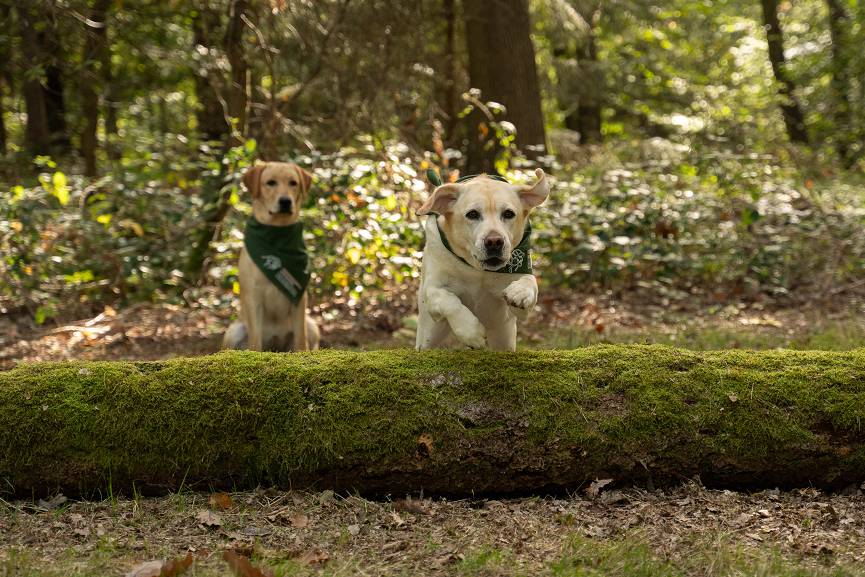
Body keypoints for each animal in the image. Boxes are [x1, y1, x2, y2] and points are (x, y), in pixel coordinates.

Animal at [221, 162, 318, 352]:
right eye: (270, 183)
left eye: (293, 183)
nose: (285, 201)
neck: (276, 234)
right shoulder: (253, 295)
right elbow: (255, 341)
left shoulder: (300, 299)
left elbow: (301, 339)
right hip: (233, 331)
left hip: (312, 325)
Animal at [416, 168, 552, 352]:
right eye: (472, 214)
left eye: (508, 214)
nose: (494, 242)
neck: (477, 270)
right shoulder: (432, 288)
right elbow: (448, 299)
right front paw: (470, 332)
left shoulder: (521, 303)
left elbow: (530, 282)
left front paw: (520, 292)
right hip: (427, 336)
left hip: (504, 338)